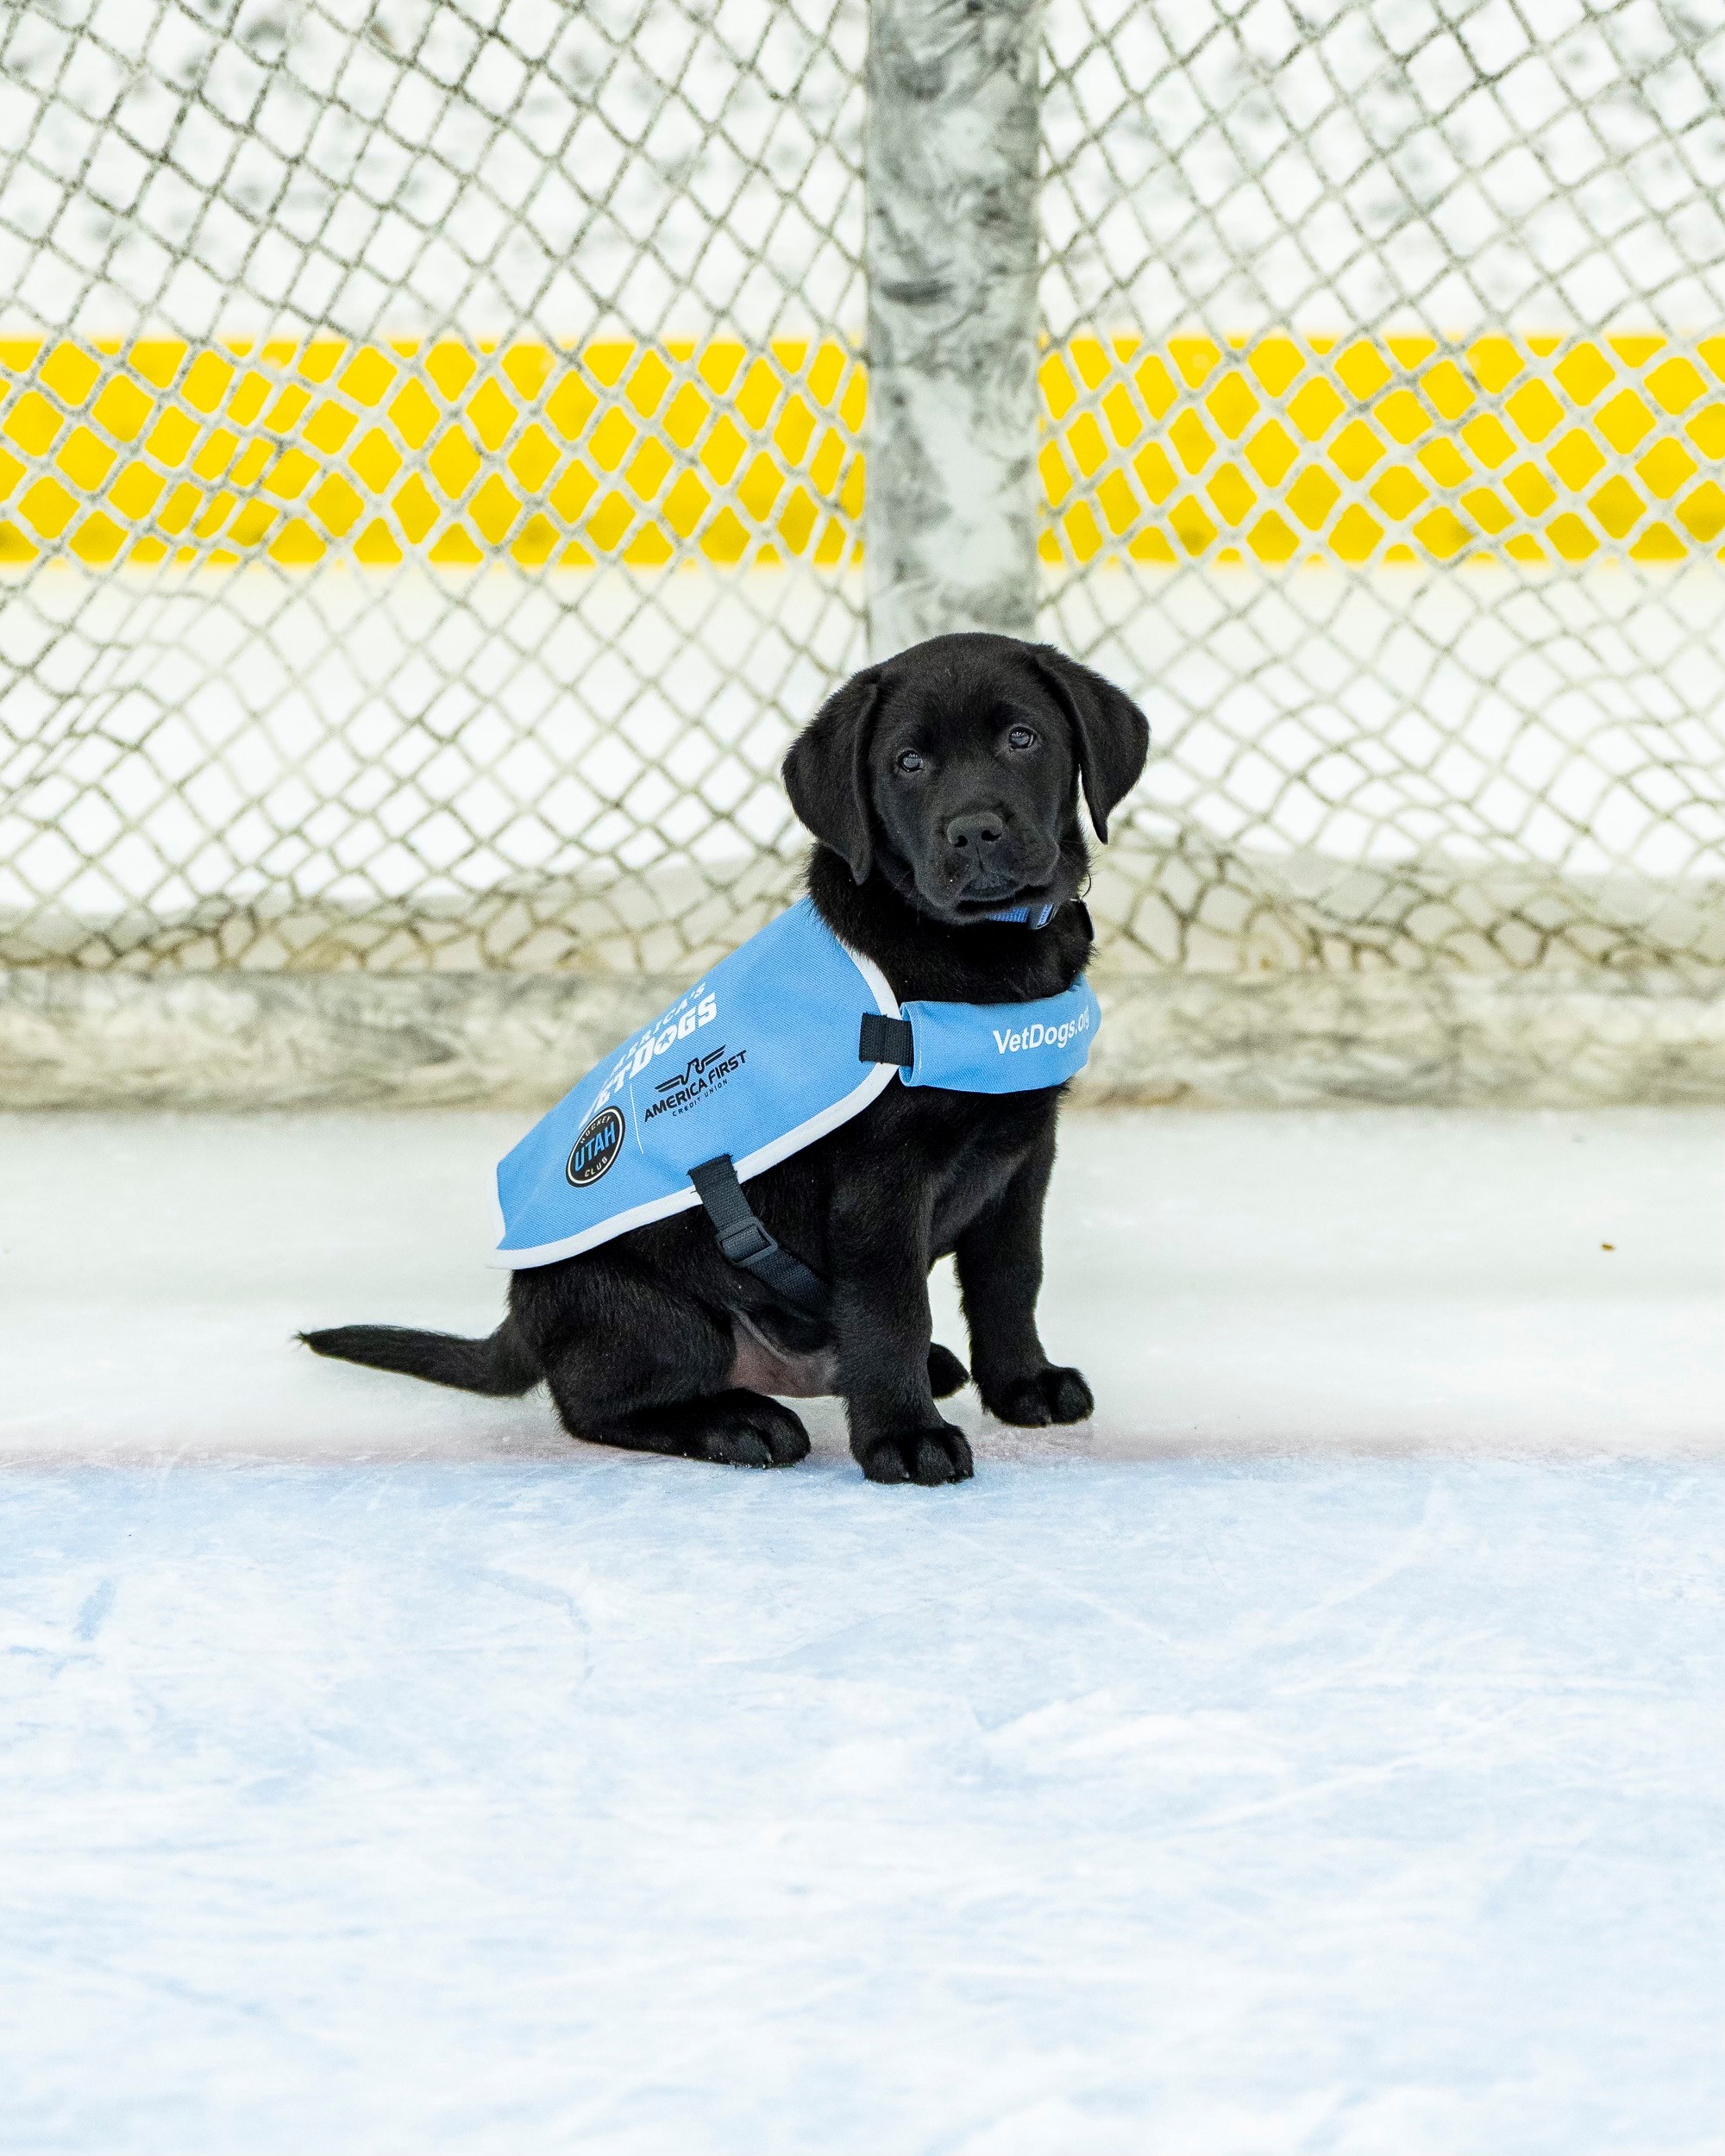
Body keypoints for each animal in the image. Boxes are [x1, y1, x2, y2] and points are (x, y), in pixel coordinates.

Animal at [306, 630, 1147, 1492]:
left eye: (1023, 740)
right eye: (908, 763)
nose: (974, 831)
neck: (979, 951)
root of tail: (519, 1319)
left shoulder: (1023, 1155)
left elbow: (1012, 1277)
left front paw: (1022, 1385)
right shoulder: (881, 1182)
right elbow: (892, 1310)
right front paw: (905, 1439)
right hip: (652, 1311)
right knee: (595, 1405)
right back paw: (737, 1423)